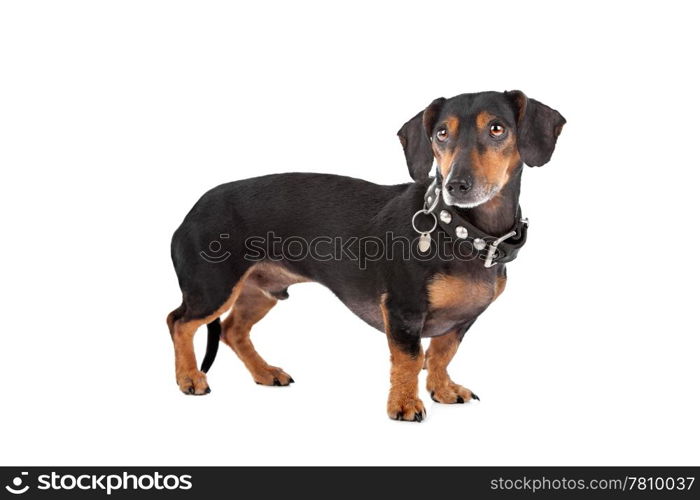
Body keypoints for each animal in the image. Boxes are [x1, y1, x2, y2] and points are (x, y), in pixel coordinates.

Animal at [167, 91, 568, 422]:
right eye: (441, 133)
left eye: (497, 129)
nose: (457, 185)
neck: (458, 231)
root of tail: (191, 212)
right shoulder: (403, 311)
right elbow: (410, 360)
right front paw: (404, 405)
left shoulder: (461, 320)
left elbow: (440, 354)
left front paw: (442, 389)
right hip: (214, 289)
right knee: (179, 322)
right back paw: (189, 378)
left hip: (262, 291)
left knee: (233, 330)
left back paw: (265, 373)